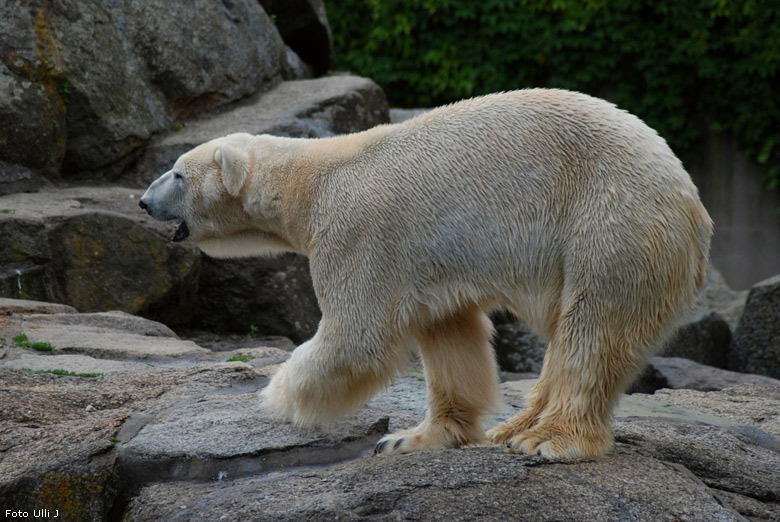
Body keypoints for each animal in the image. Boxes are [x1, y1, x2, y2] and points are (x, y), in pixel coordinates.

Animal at [140, 89, 712, 460]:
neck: (308, 183)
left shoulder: (357, 233)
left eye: (177, 173)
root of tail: (691, 200)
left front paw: (275, 399)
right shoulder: (426, 263)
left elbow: (354, 337)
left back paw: (547, 439)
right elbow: (449, 336)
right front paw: (409, 438)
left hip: (612, 221)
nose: (144, 201)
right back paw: (514, 426)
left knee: (593, 327)